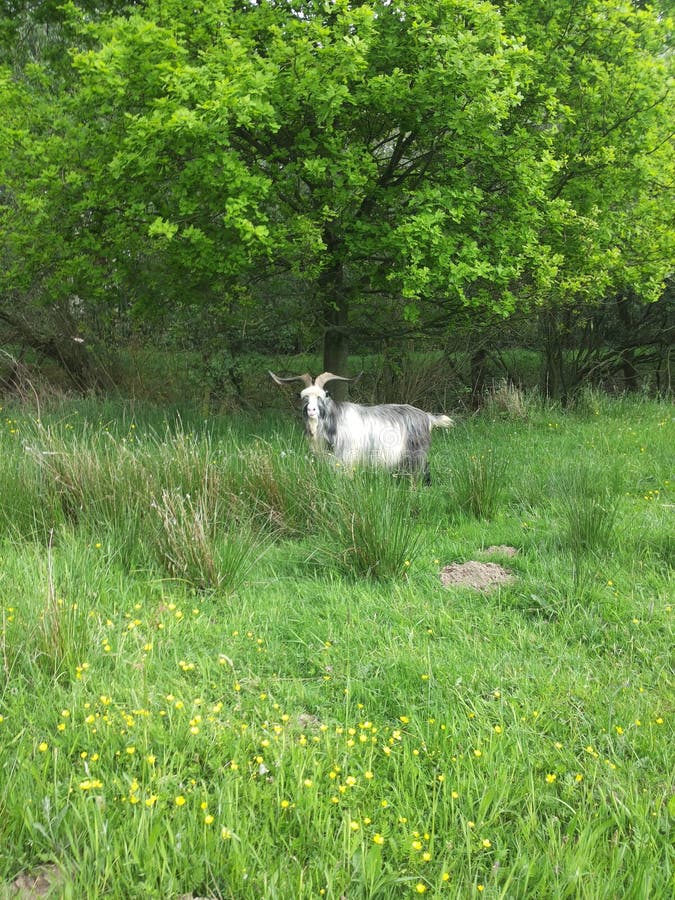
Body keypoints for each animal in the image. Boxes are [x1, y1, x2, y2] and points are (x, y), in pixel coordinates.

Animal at [269, 371, 453, 483]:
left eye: (322, 396)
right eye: (304, 397)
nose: (311, 410)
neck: (334, 422)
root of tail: (427, 417)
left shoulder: (347, 461)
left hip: (416, 455)